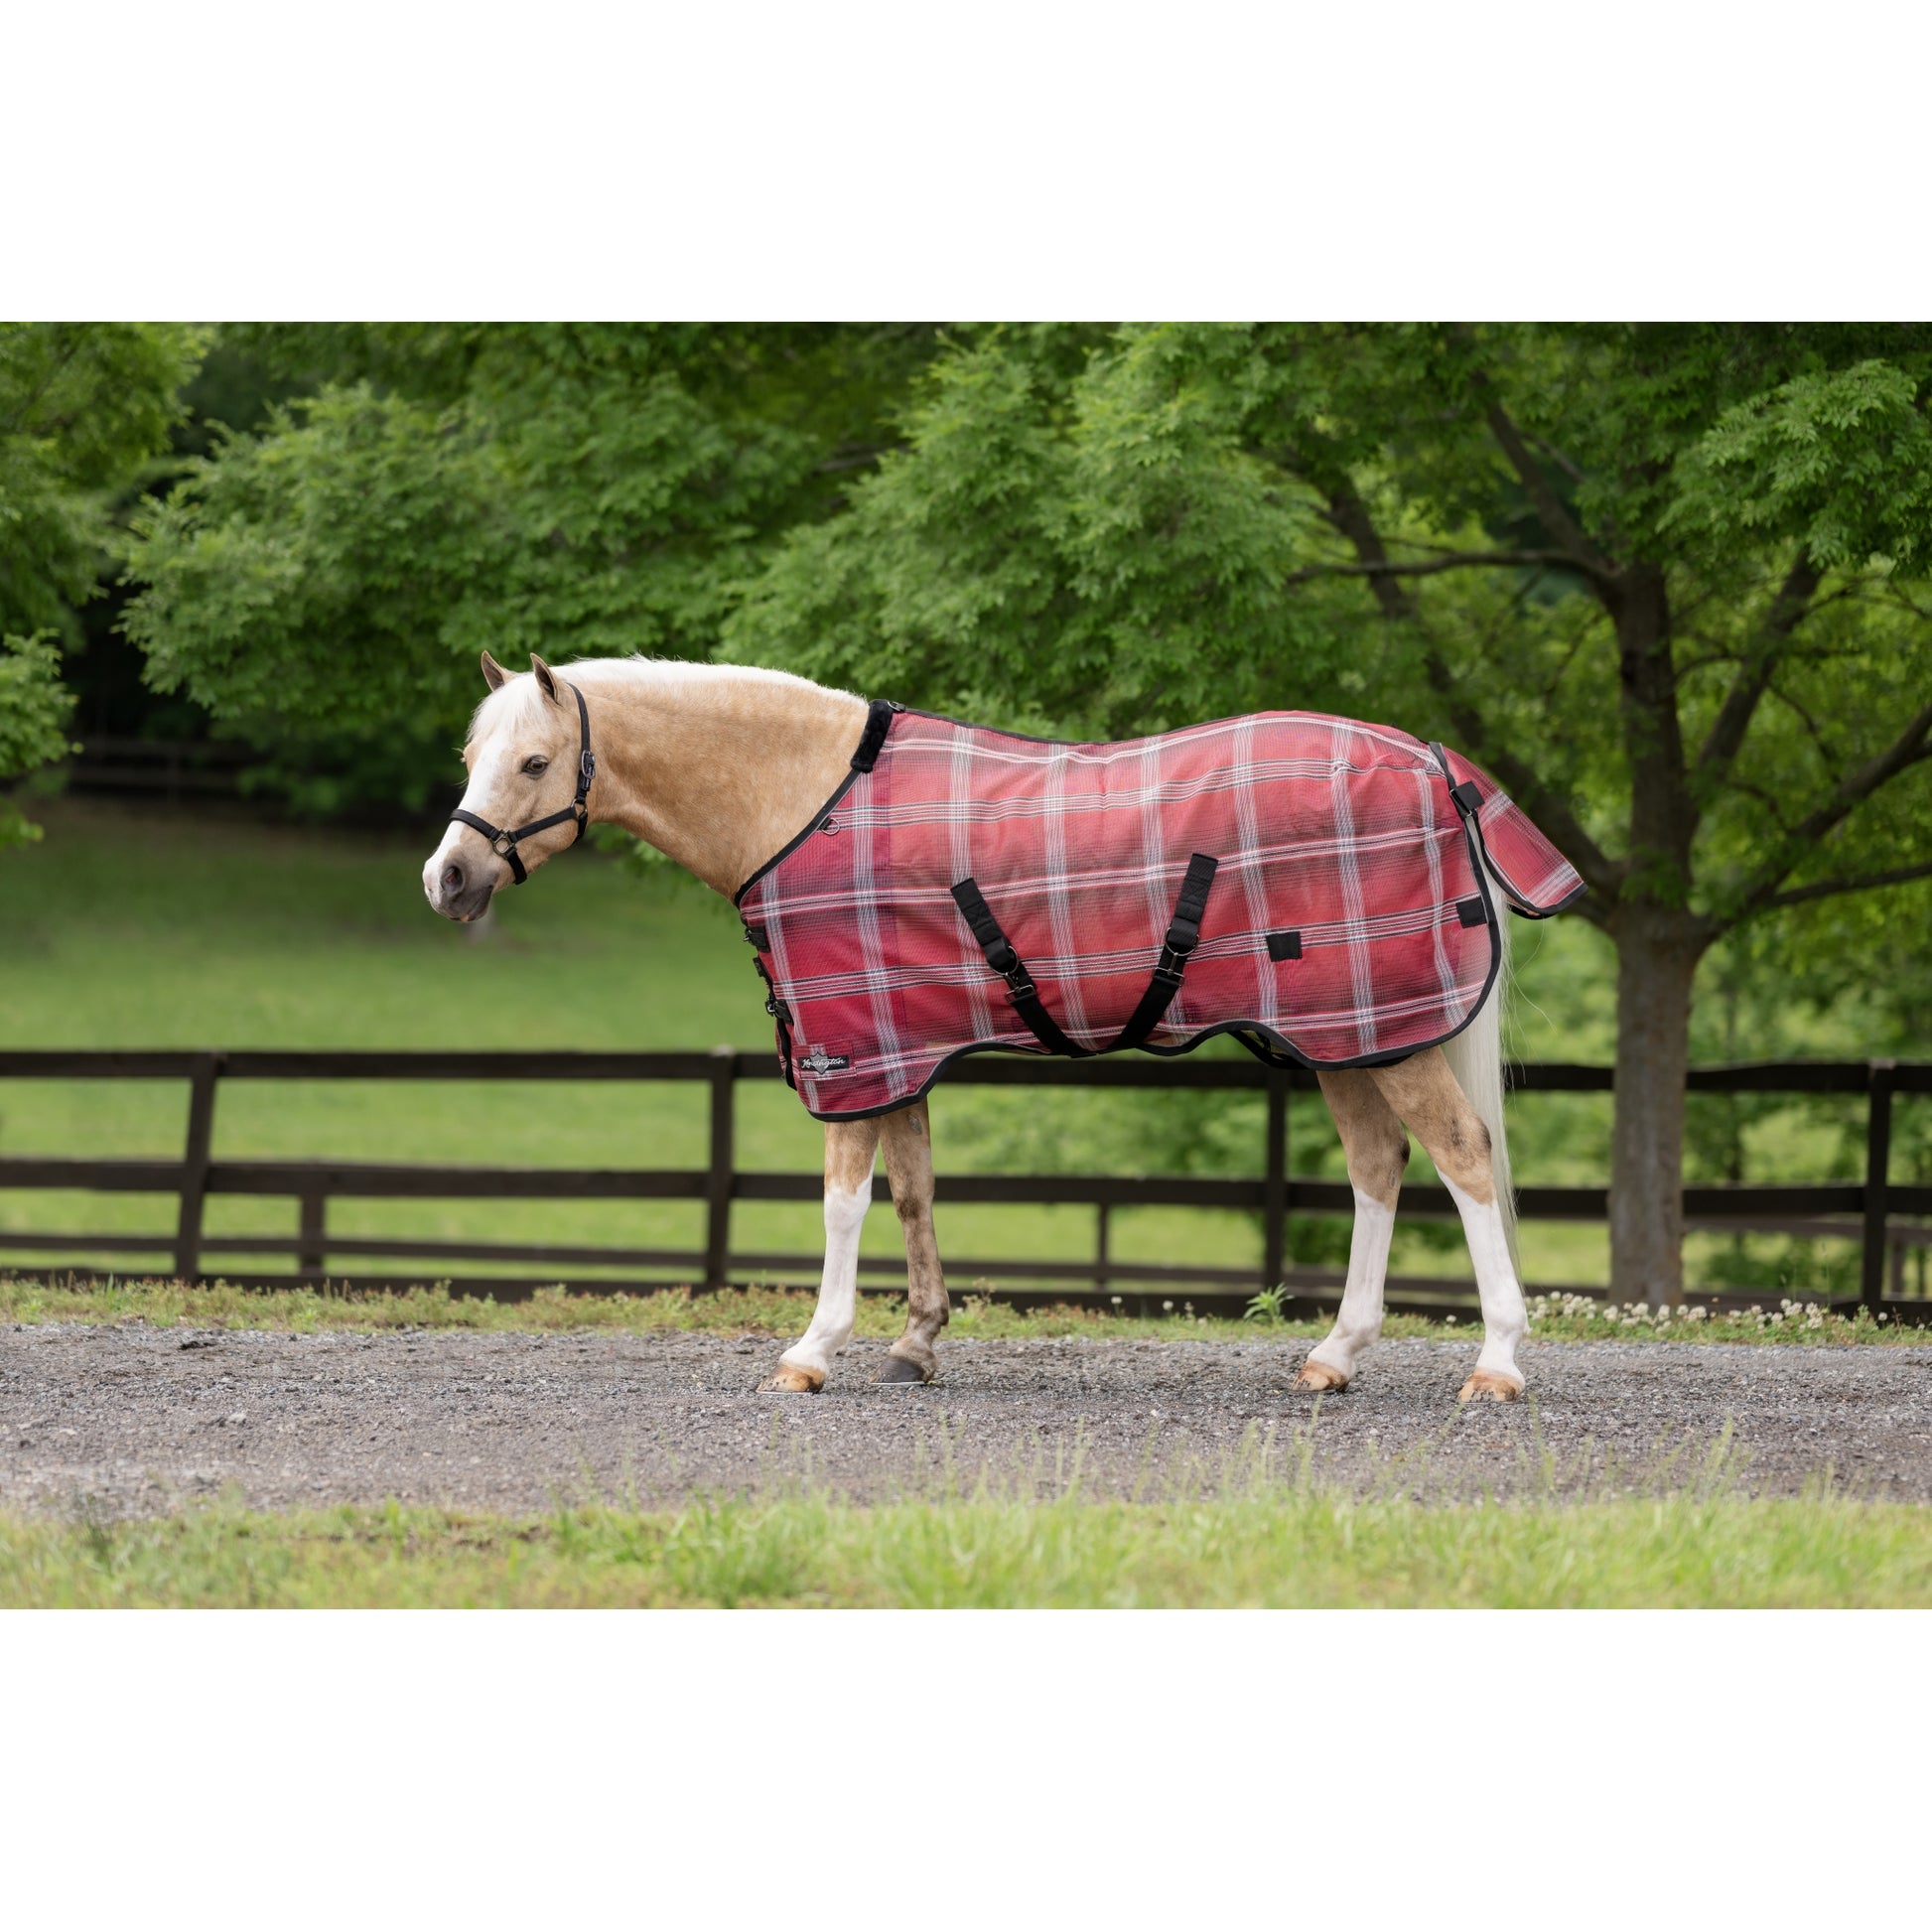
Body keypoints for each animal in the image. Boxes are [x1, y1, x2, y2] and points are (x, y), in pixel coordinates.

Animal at [422, 649, 1568, 1403]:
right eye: (472, 752)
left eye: (534, 764)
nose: (447, 880)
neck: (800, 800)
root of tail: (1432, 761)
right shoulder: (898, 1050)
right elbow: (914, 1192)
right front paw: (916, 1342)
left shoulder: (850, 1050)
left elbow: (842, 1202)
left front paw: (813, 1349)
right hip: (1344, 1036)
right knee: (1377, 1163)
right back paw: (1334, 1354)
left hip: (1383, 1037)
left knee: (1461, 1155)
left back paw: (1496, 1364)